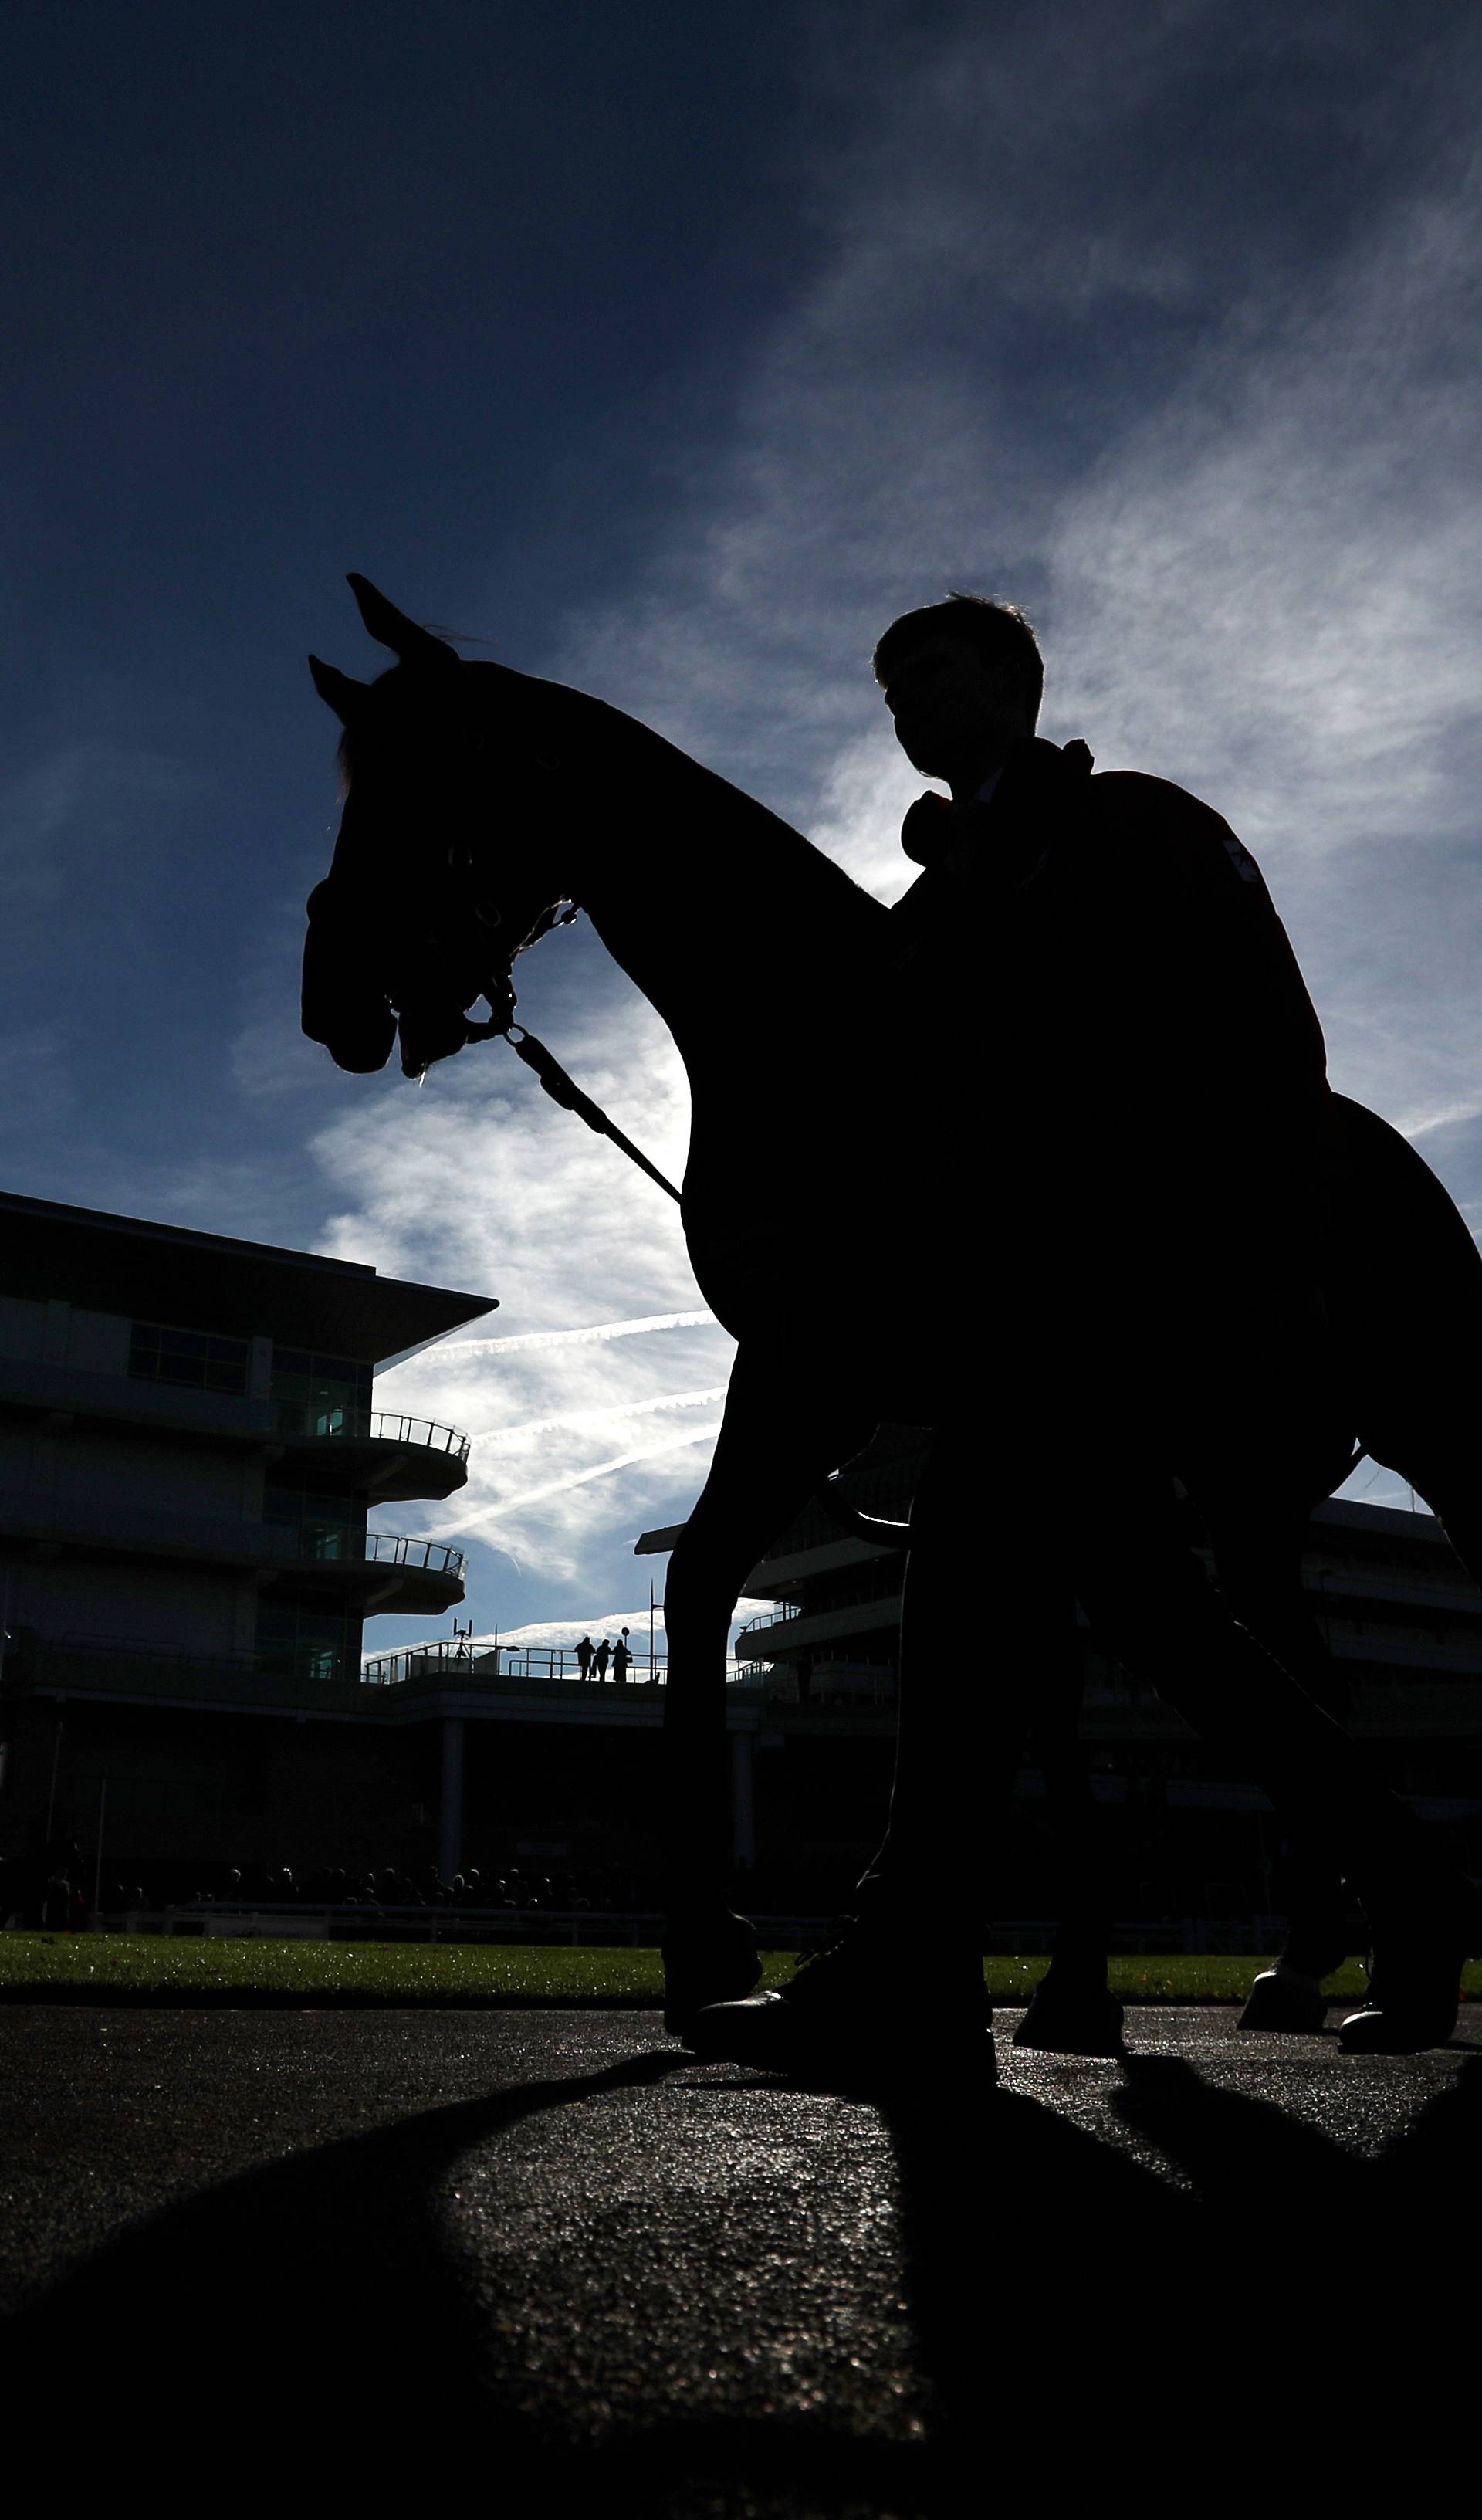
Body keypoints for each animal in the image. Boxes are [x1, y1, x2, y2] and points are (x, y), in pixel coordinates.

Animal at [301, 577, 1482, 2026]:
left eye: (429, 781)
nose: (328, 995)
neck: (833, 1043)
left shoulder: (851, 1382)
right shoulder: (830, 1379)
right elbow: (724, 1583)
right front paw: (750, 1938)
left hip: (1433, 1422)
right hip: (1244, 1494)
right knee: (1293, 1669)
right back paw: (1323, 1953)